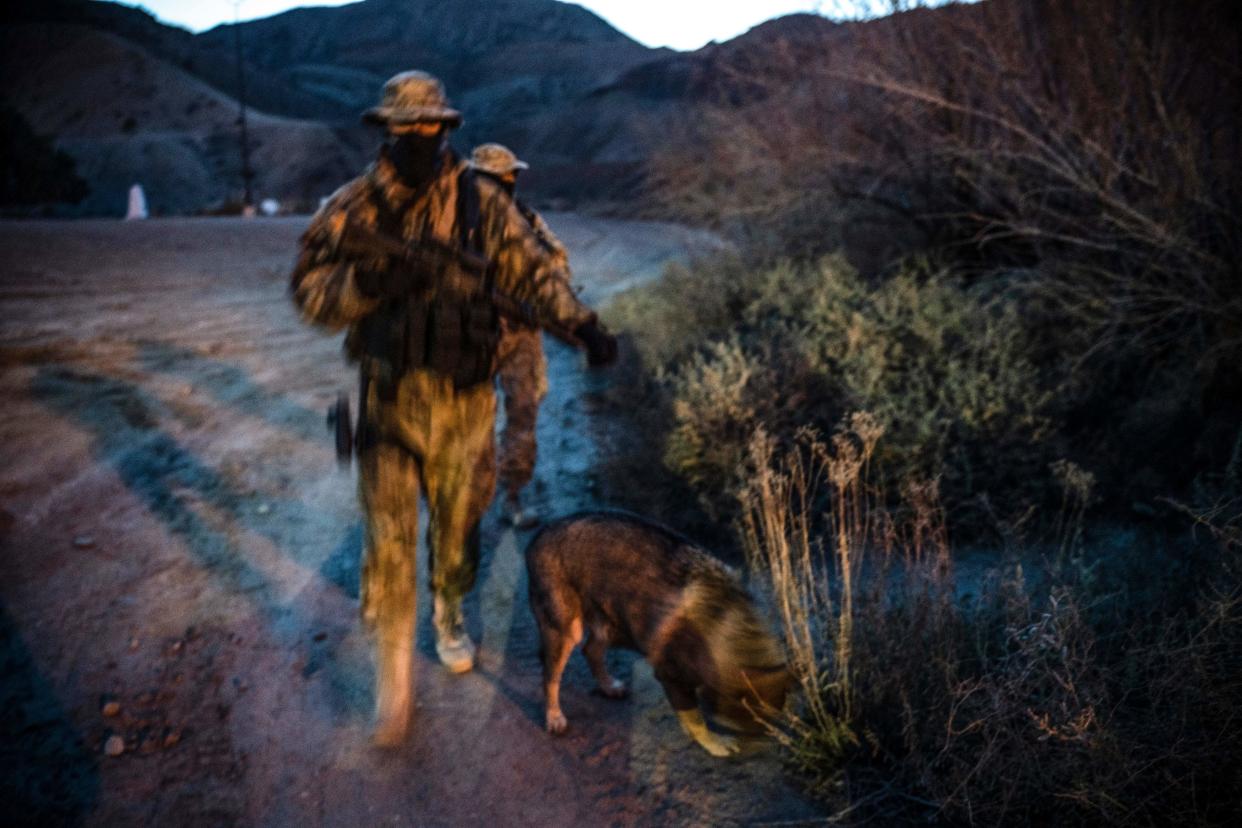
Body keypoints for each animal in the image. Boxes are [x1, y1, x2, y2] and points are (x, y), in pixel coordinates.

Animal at [521, 511, 789, 759]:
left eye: (767, 727)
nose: (765, 749)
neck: (730, 625)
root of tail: (539, 535)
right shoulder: (670, 676)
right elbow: (696, 720)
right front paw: (714, 743)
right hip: (566, 630)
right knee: (550, 677)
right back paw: (554, 717)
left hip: (609, 619)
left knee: (590, 650)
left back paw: (609, 687)